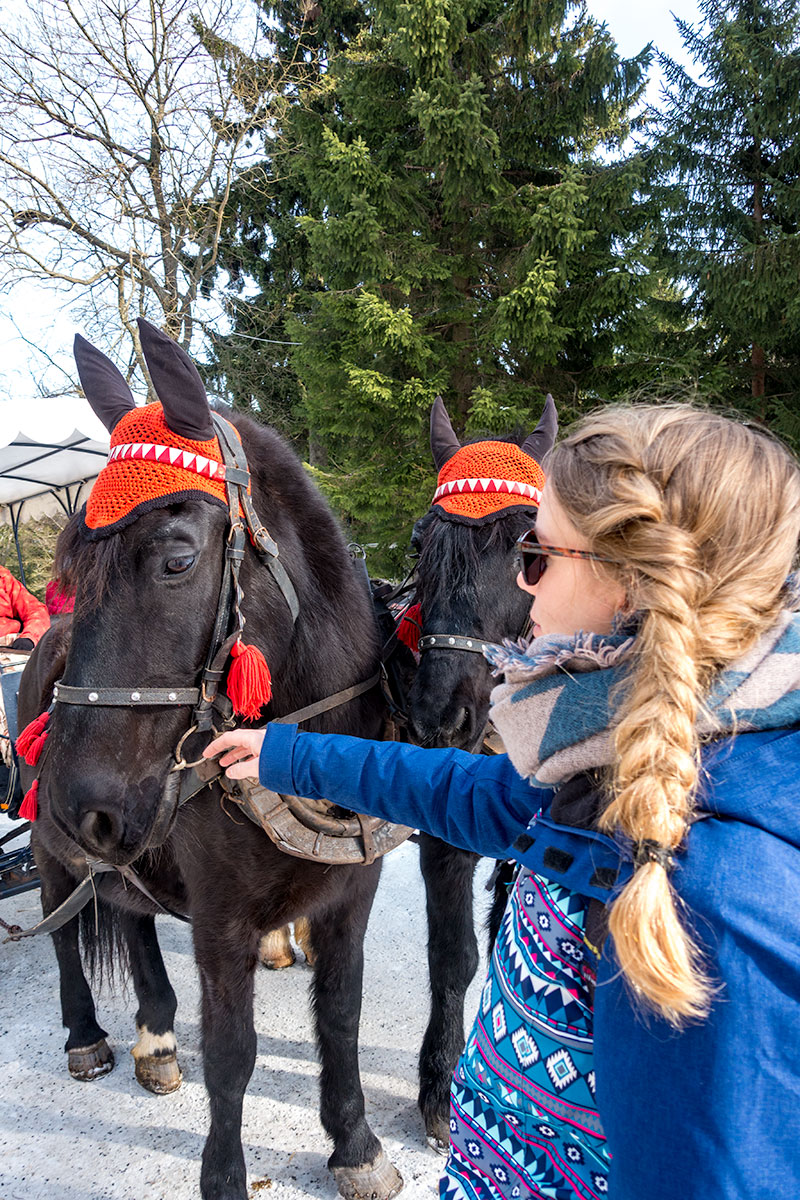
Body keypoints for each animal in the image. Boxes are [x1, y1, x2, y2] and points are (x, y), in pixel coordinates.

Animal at [18, 319, 402, 1200]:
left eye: (176, 558)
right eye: (69, 567)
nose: (79, 803)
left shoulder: (350, 896)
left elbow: (341, 1016)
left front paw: (354, 1143)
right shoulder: (223, 920)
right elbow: (232, 1054)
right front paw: (225, 1176)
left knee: (129, 914)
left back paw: (156, 1036)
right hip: (57, 855)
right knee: (66, 925)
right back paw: (88, 1036)